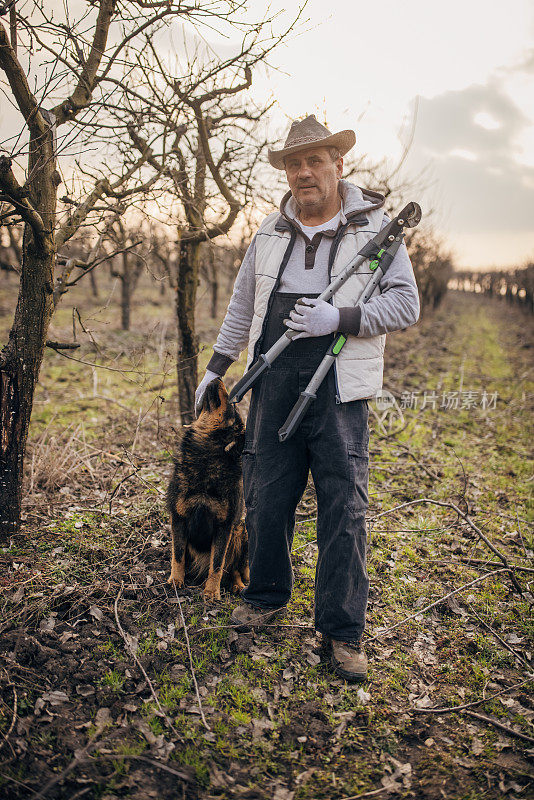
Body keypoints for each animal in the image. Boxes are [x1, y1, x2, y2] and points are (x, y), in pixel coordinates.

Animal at [166, 378, 250, 596]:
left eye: (233, 405)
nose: (217, 377)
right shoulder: (179, 518)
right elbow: (178, 555)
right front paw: (176, 580)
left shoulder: (224, 525)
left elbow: (218, 563)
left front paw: (212, 592)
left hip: (242, 530)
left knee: (234, 568)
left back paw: (238, 585)